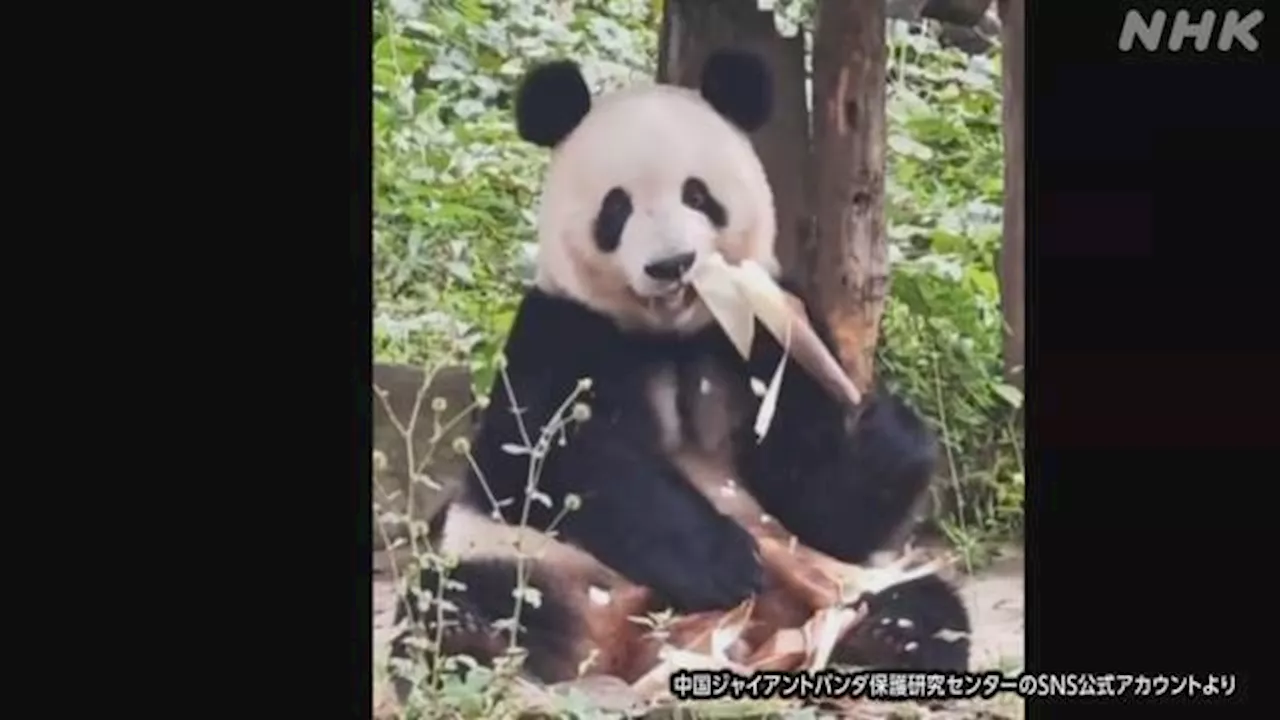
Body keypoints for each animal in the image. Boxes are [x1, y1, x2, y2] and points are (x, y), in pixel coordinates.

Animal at [389, 49, 967, 696]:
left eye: (698, 195)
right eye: (616, 208)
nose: (672, 264)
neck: (671, 336)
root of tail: (629, 649)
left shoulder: (772, 332)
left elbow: (822, 504)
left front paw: (886, 433)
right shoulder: (559, 330)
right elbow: (546, 461)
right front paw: (723, 560)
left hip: (832, 583)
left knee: (923, 602)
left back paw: (883, 639)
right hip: (528, 566)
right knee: (463, 601)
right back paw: (473, 647)